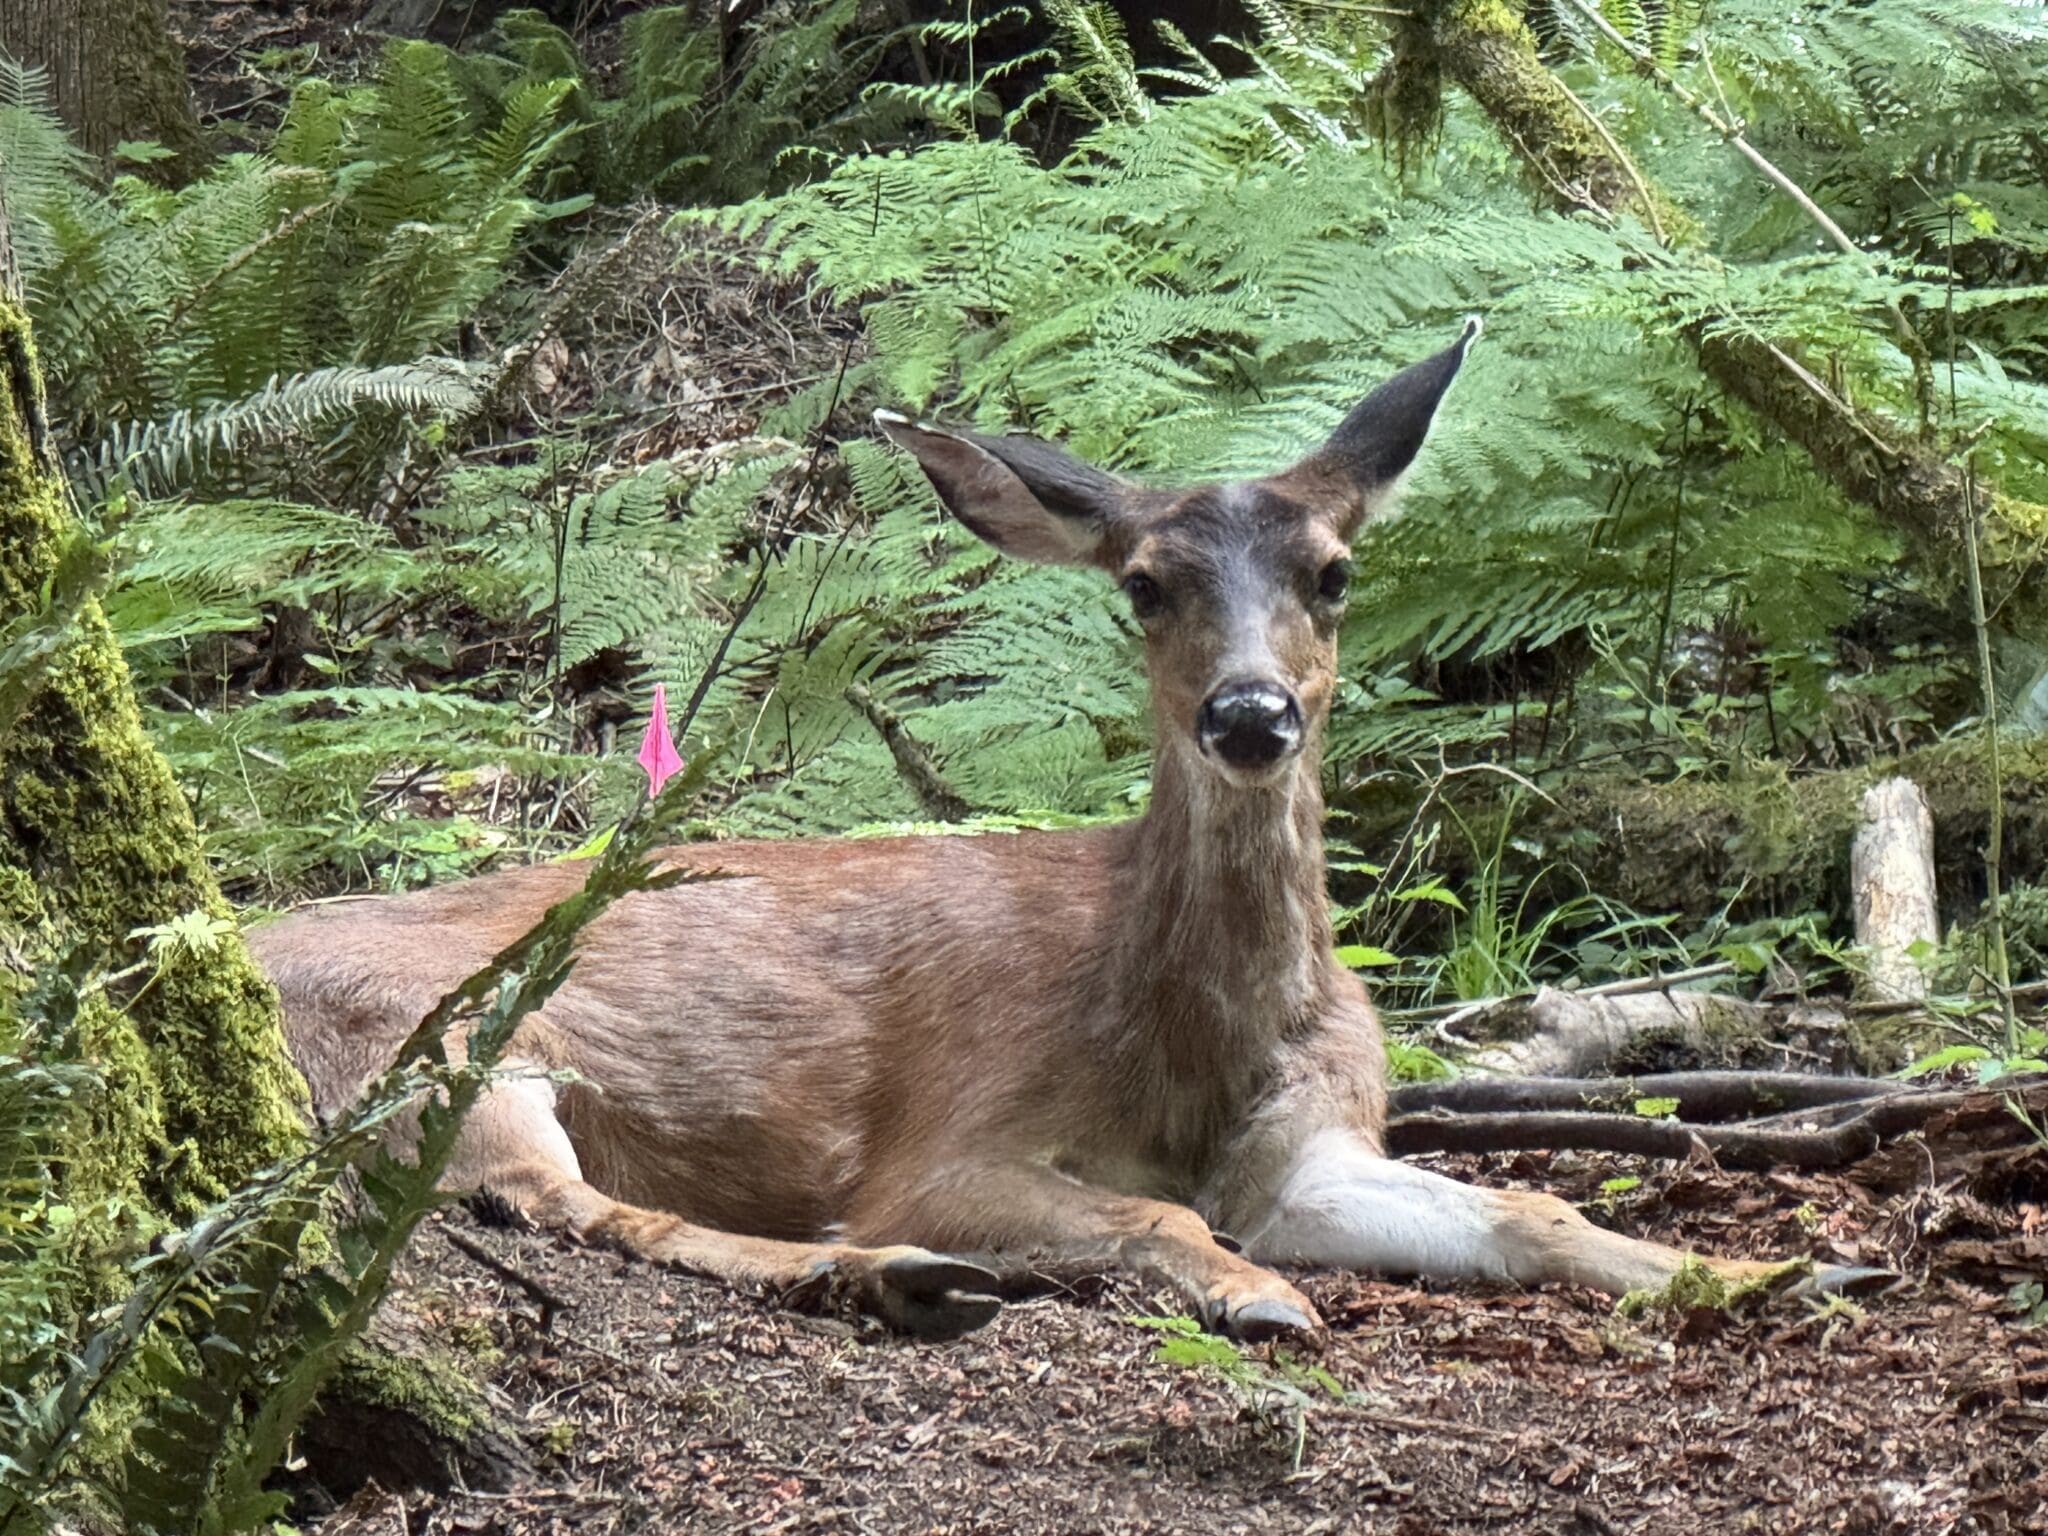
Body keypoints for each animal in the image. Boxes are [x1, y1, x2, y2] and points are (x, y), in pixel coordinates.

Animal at [253, 321, 1784, 1342]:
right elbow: (1159, 1217)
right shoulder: (949, 1137)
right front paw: (1257, 1296)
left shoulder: (1313, 1141)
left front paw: (1766, 1274)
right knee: (562, 1207)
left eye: (1335, 573)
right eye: (1146, 585)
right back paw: (892, 1275)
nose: (1249, 713)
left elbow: (1539, 1212)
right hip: (432, 1046)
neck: (1183, 1047)